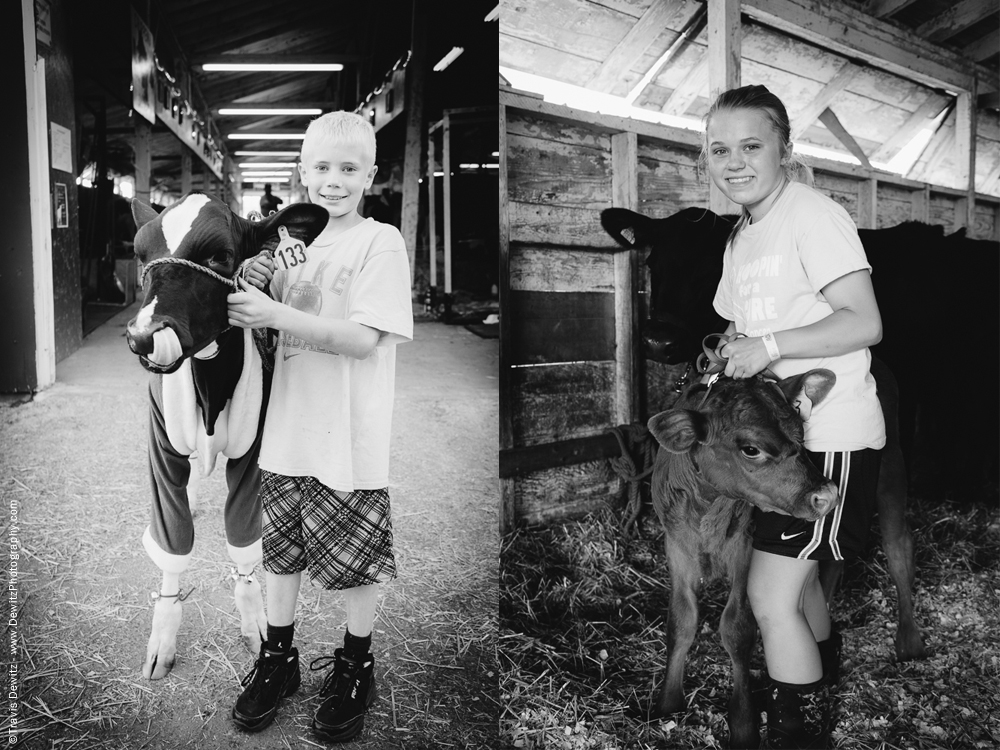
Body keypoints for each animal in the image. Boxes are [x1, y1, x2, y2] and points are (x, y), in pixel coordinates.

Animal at [124, 192, 328, 680]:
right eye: (140, 253)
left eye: (220, 255)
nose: (144, 336)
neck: (210, 385)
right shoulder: (162, 445)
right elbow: (173, 544)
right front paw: (162, 640)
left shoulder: (252, 452)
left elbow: (245, 548)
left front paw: (257, 625)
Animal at [592, 204, 936, 664]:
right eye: (652, 262)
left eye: (714, 270)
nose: (657, 340)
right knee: (831, 561)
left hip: (890, 464)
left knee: (898, 545)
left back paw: (909, 638)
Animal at [648, 372, 844, 750]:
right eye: (751, 449)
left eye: (801, 433)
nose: (827, 496)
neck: (708, 505)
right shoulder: (676, 546)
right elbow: (681, 620)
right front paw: (667, 704)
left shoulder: (744, 545)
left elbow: (737, 627)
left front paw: (743, 725)